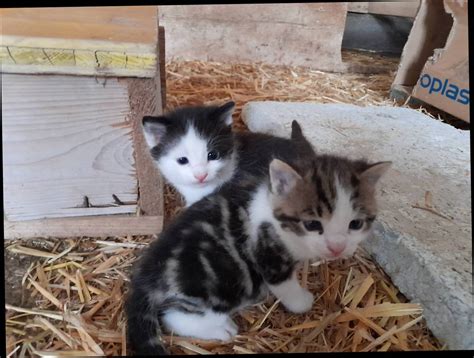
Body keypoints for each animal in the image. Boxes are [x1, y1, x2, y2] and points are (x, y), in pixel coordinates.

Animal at [126, 124, 392, 356]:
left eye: (355, 224)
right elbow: (286, 287)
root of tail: (146, 277)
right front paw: (303, 301)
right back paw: (220, 328)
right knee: (174, 317)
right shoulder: (270, 257)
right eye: (312, 224)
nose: (337, 248)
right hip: (221, 285)